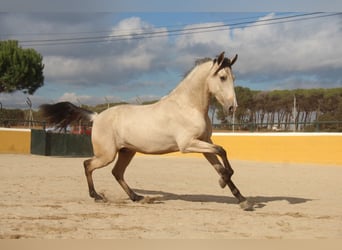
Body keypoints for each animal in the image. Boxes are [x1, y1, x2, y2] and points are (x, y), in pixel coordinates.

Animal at [40, 51, 254, 210]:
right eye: (223, 77)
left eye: (234, 78)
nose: (232, 108)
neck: (188, 106)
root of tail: (96, 116)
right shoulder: (188, 144)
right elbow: (222, 152)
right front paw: (223, 182)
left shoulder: (204, 142)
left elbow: (220, 162)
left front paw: (241, 199)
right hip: (107, 154)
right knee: (88, 165)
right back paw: (97, 196)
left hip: (127, 152)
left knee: (117, 172)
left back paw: (138, 197)